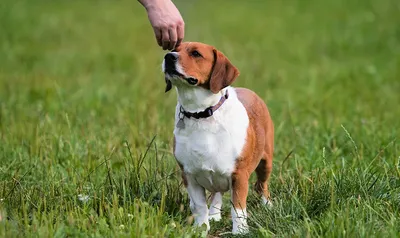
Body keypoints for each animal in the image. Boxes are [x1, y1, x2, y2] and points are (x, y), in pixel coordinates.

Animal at [161, 41, 274, 233]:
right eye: (174, 49)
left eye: (196, 53)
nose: (169, 57)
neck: (201, 114)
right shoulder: (189, 175)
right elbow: (200, 206)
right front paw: (201, 228)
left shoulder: (239, 175)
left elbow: (238, 208)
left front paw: (240, 232)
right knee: (217, 193)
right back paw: (214, 215)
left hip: (266, 162)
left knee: (261, 185)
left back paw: (268, 206)